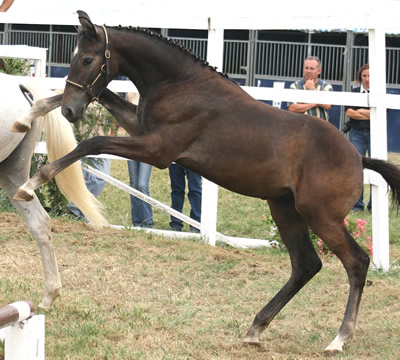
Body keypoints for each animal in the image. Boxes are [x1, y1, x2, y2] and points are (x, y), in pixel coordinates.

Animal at [12, 11, 400, 354]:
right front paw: (26, 117)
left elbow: (91, 143)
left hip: (320, 215)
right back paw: (255, 329)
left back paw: (338, 339)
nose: (71, 111)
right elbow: (102, 100)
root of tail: (357, 157)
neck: (180, 85)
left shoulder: (157, 149)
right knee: (306, 264)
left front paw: (31, 183)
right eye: (73, 59)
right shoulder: (140, 129)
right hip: (284, 209)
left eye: (89, 59)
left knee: (356, 262)